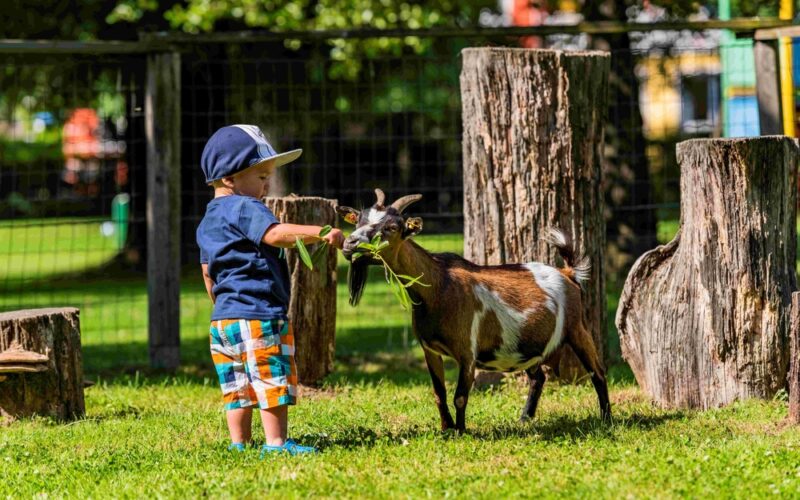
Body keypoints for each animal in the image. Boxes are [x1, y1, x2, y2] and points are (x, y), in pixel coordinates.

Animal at [337, 189, 611, 432]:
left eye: (392, 228)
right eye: (359, 220)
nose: (350, 243)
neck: (438, 287)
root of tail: (567, 273)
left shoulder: (467, 351)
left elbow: (460, 396)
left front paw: (461, 431)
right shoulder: (429, 350)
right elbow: (439, 392)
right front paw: (446, 428)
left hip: (577, 328)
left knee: (597, 372)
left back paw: (605, 418)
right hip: (526, 345)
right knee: (538, 377)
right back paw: (524, 419)